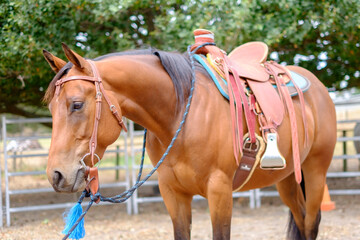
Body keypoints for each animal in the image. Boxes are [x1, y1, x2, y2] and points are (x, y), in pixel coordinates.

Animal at [43, 42, 336, 239]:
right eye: (50, 109)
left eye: (77, 104)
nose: (56, 175)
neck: (179, 113)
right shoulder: (173, 193)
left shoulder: (219, 191)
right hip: (287, 178)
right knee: (300, 219)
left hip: (315, 171)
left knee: (311, 222)